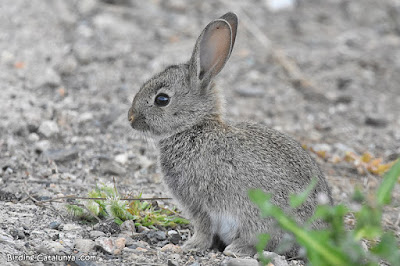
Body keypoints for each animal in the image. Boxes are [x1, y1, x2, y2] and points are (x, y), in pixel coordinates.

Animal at [128, 12, 332, 258]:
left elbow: (204, 228)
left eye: (162, 99)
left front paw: (192, 245)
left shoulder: (199, 204)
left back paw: (235, 249)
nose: (130, 118)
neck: (195, 126)